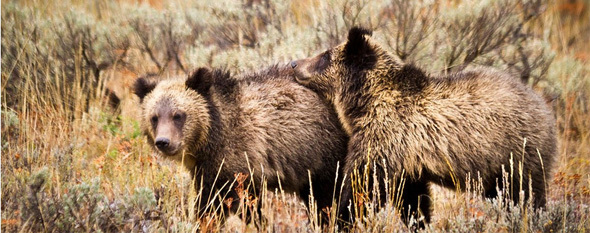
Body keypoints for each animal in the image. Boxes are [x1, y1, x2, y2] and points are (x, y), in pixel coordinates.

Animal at [134, 65, 346, 220]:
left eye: (178, 115)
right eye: (154, 117)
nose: (163, 142)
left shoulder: (239, 161)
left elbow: (234, 203)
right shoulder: (207, 170)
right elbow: (209, 202)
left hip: (324, 152)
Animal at [292, 26, 560, 226]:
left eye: (325, 55)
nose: (294, 63)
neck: (367, 101)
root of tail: (544, 107)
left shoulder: (386, 139)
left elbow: (365, 184)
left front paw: (341, 216)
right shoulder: (409, 163)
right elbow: (413, 199)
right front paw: (419, 221)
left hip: (516, 154)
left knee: (525, 196)